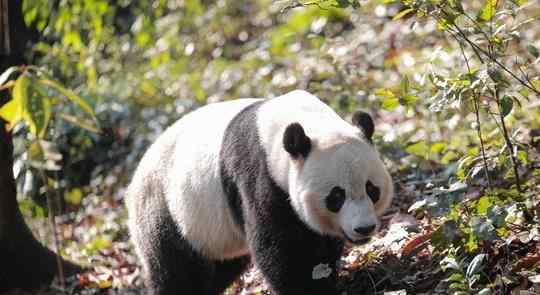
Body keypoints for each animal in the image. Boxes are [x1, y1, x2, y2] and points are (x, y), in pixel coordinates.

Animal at [127, 90, 396, 295]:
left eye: (371, 189)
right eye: (336, 196)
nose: (364, 229)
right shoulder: (258, 175)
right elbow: (279, 246)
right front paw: (308, 289)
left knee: (221, 267)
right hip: (165, 207)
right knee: (176, 270)